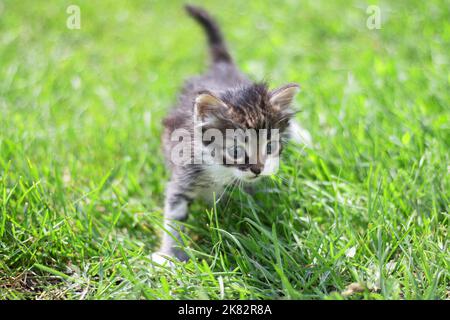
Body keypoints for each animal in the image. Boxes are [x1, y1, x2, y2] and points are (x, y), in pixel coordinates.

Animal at [151, 5, 310, 264]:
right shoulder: (181, 177)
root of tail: (222, 66)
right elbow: (174, 219)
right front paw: (170, 255)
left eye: (269, 147)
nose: (258, 169)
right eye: (236, 150)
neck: (218, 169)